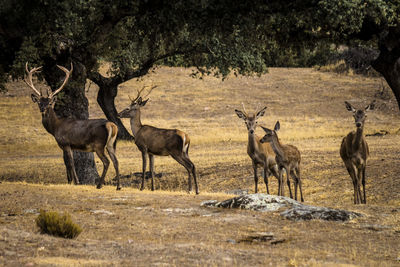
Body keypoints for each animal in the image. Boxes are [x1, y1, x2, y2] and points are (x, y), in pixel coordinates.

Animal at [24, 63, 120, 191]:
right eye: (39, 102)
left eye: (49, 103)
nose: (43, 109)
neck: (55, 128)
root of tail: (111, 125)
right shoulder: (68, 145)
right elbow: (67, 162)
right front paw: (70, 181)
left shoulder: (65, 143)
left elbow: (70, 162)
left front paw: (76, 182)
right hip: (111, 144)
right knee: (116, 161)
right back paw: (118, 186)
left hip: (99, 144)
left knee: (107, 162)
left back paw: (99, 185)